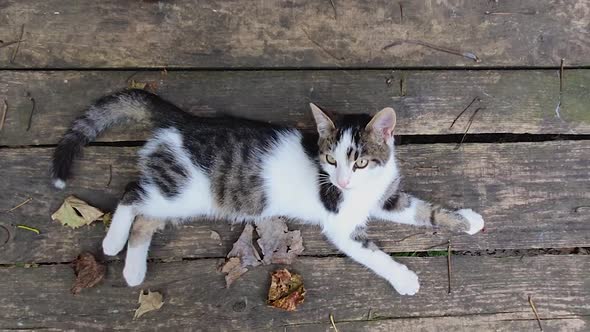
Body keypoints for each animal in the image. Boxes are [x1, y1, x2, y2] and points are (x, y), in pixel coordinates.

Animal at [52, 89, 486, 296]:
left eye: (360, 163)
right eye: (330, 159)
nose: (342, 182)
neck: (362, 189)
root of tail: (184, 122)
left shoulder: (387, 198)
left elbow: (424, 211)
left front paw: (467, 220)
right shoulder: (341, 227)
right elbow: (374, 254)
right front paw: (403, 278)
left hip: (182, 199)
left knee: (145, 219)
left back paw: (133, 268)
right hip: (179, 189)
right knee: (131, 194)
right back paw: (113, 245)